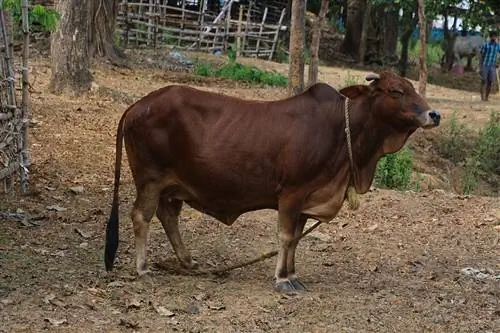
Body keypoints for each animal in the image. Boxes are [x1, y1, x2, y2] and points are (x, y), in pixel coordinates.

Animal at [103, 71, 440, 292]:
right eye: (395, 91)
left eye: (411, 87)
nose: (433, 114)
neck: (342, 133)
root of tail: (138, 104)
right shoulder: (291, 194)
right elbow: (286, 236)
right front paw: (281, 280)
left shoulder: (308, 198)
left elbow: (297, 239)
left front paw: (292, 275)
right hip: (150, 179)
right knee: (141, 216)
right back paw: (143, 270)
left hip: (172, 186)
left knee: (168, 216)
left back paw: (188, 262)